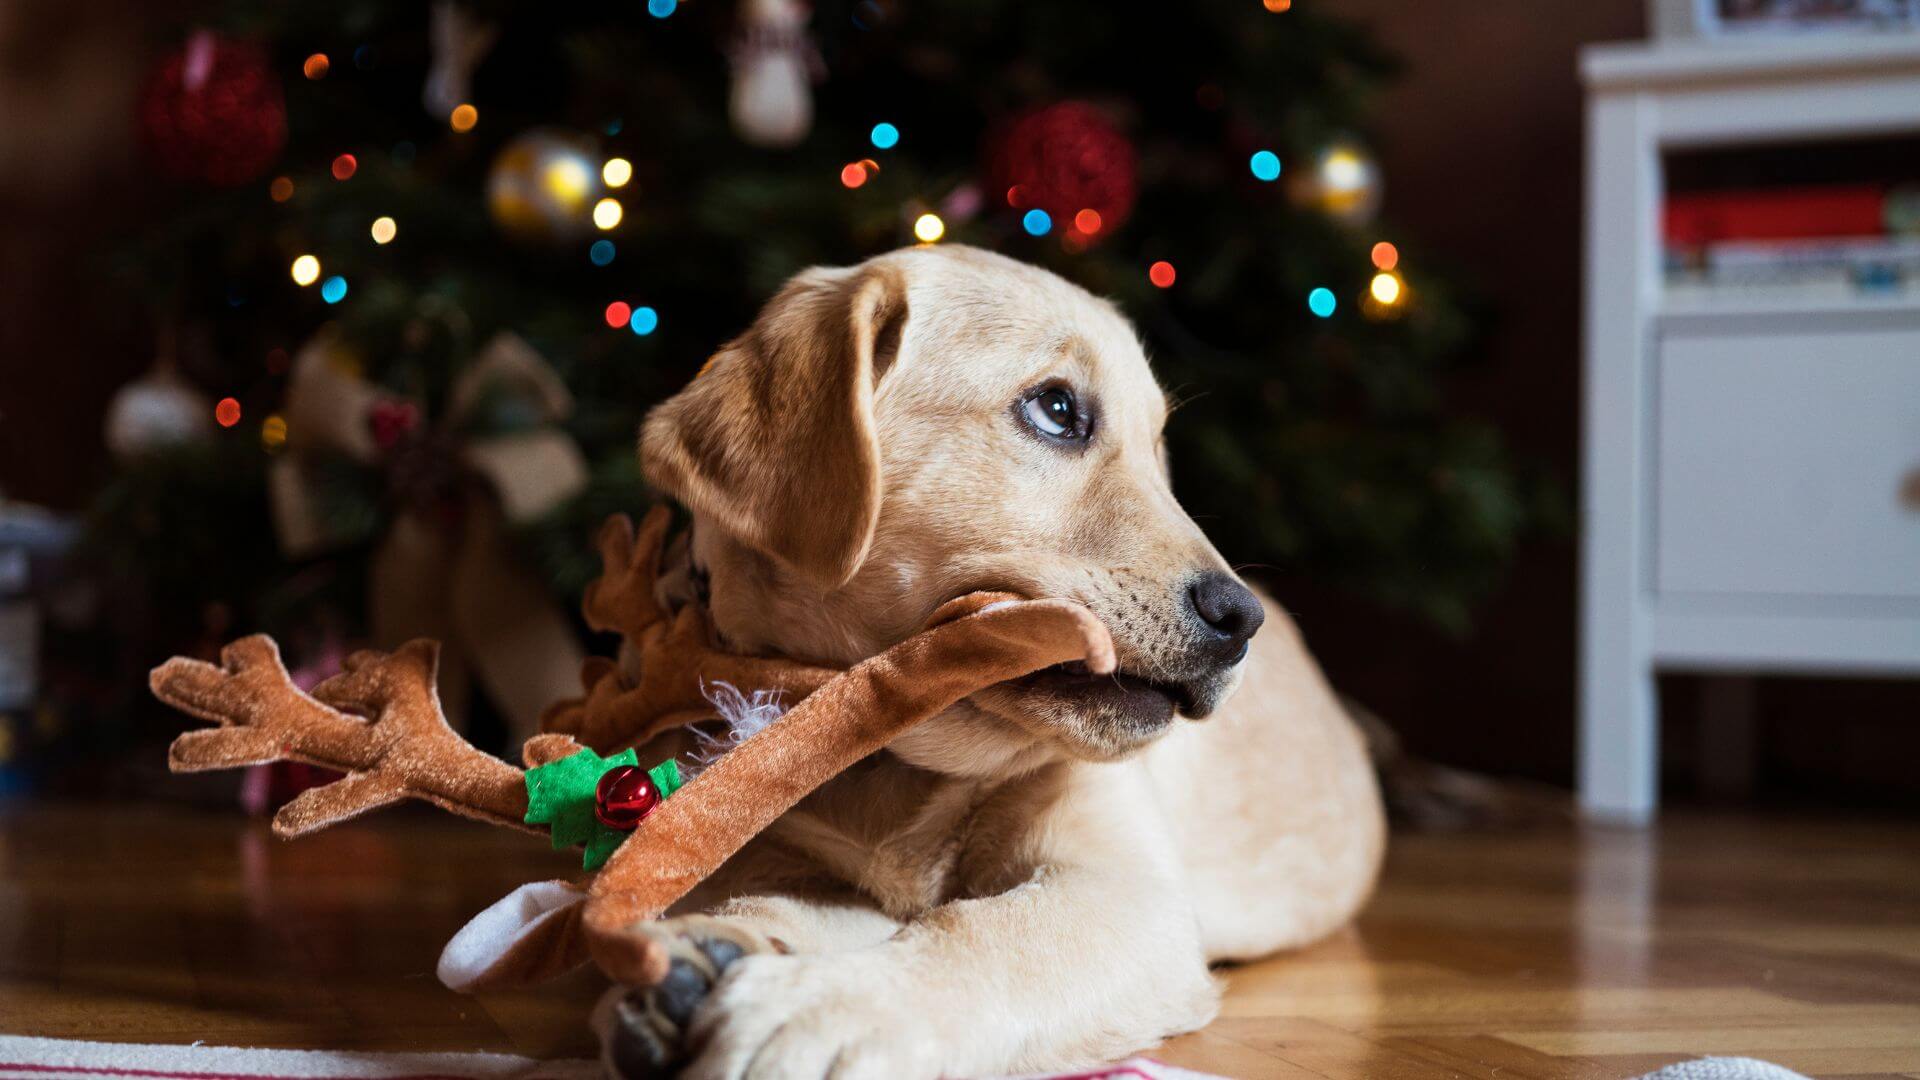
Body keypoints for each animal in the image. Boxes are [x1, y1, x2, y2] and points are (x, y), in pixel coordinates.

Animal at [595, 244, 1382, 1076]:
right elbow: (795, 901)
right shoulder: (786, 850)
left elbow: (976, 933)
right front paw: (700, 955)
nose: (1240, 621)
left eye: (1160, 450)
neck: (895, 751)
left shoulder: (1129, 894)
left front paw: (816, 1006)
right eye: (1058, 411)